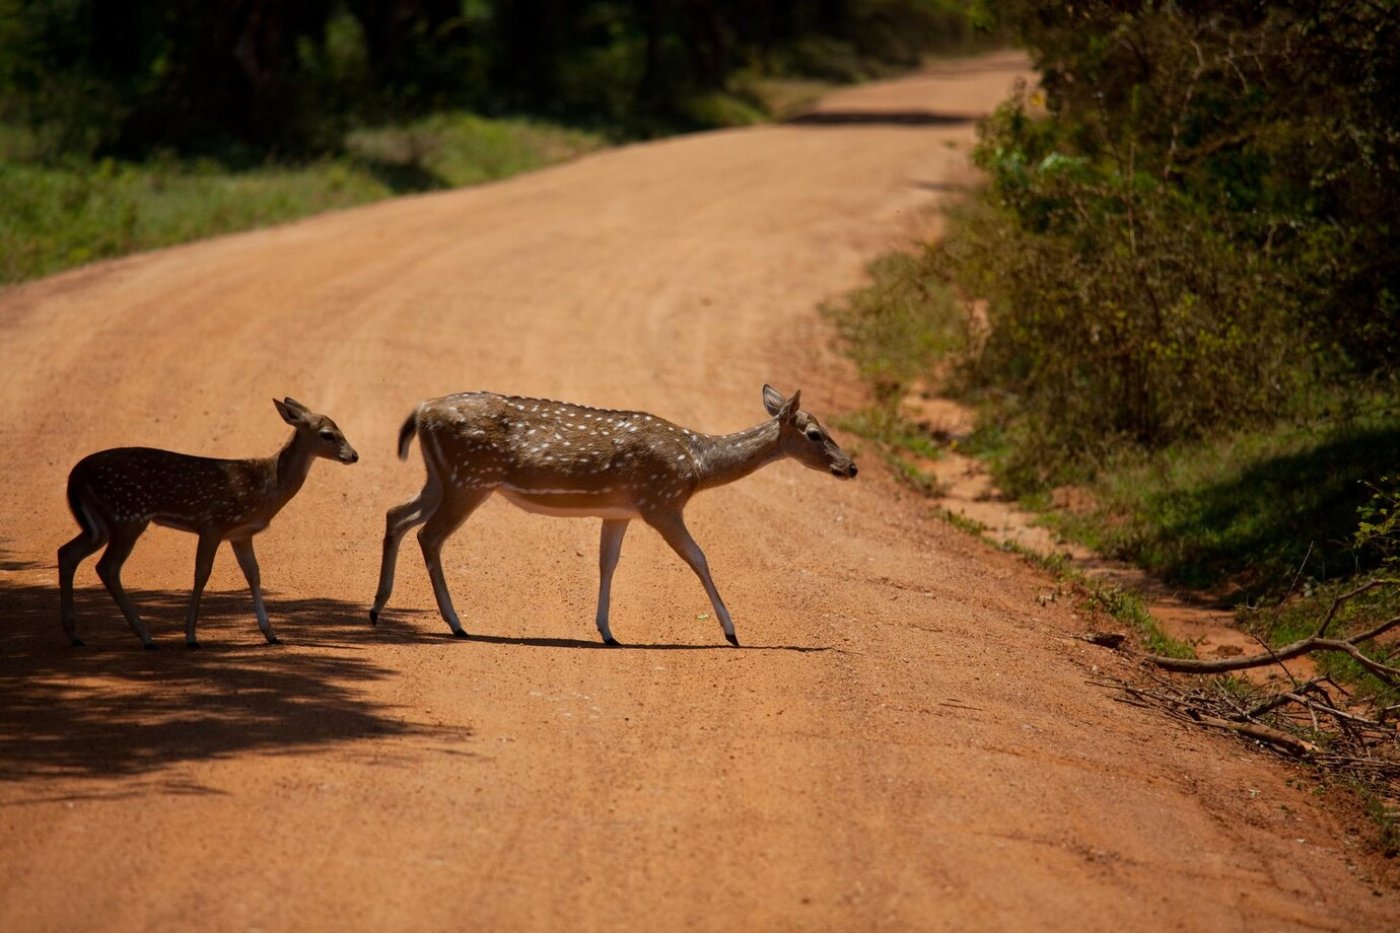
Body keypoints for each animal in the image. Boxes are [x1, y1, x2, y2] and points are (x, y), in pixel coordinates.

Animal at [60, 395, 358, 647]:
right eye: (327, 434)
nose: (354, 455)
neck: (267, 484)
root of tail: (75, 475)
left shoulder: (241, 533)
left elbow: (254, 573)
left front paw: (271, 633)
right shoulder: (213, 523)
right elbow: (202, 573)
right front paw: (191, 636)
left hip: (101, 524)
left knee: (67, 552)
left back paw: (75, 635)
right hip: (127, 515)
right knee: (108, 567)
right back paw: (146, 637)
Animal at [372, 381, 851, 644]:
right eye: (815, 433)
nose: (850, 466)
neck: (697, 465)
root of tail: (420, 412)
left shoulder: (620, 511)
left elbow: (608, 563)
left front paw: (606, 631)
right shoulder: (661, 502)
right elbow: (699, 558)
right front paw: (732, 633)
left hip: (443, 477)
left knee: (397, 515)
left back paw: (378, 609)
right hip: (471, 479)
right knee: (429, 535)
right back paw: (455, 624)